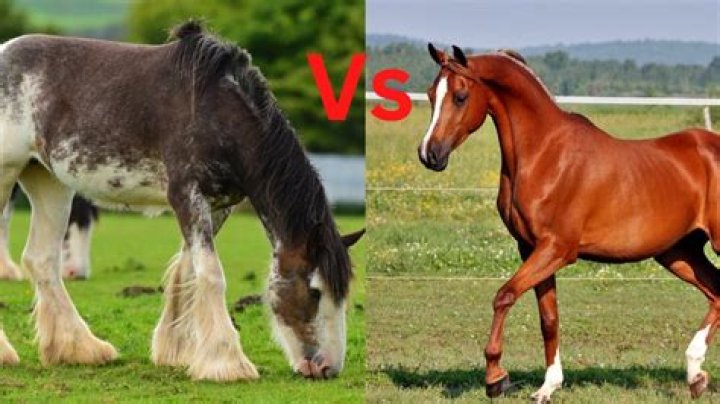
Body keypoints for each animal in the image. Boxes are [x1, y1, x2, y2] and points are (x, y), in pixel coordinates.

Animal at [0, 21, 363, 381]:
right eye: (315, 291)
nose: (328, 367)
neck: (217, 111)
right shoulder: (186, 195)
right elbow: (211, 274)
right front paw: (227, 363)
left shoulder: (218, 206)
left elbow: (187, 271)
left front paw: (177, 352)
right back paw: (9, 354)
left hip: (49, 182)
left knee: (42, 260)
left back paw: (79, 348)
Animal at [418, 43, 720, 402]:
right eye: (431, 93)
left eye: (461, 96)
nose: (429, 155)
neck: (546, 155)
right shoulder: (531, 249)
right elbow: (549, 318)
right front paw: (547, 386)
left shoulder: (557, 249)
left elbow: (504, 295)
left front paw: (495, 377)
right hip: (679, 253)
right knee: (718, 292)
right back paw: (695, 375)